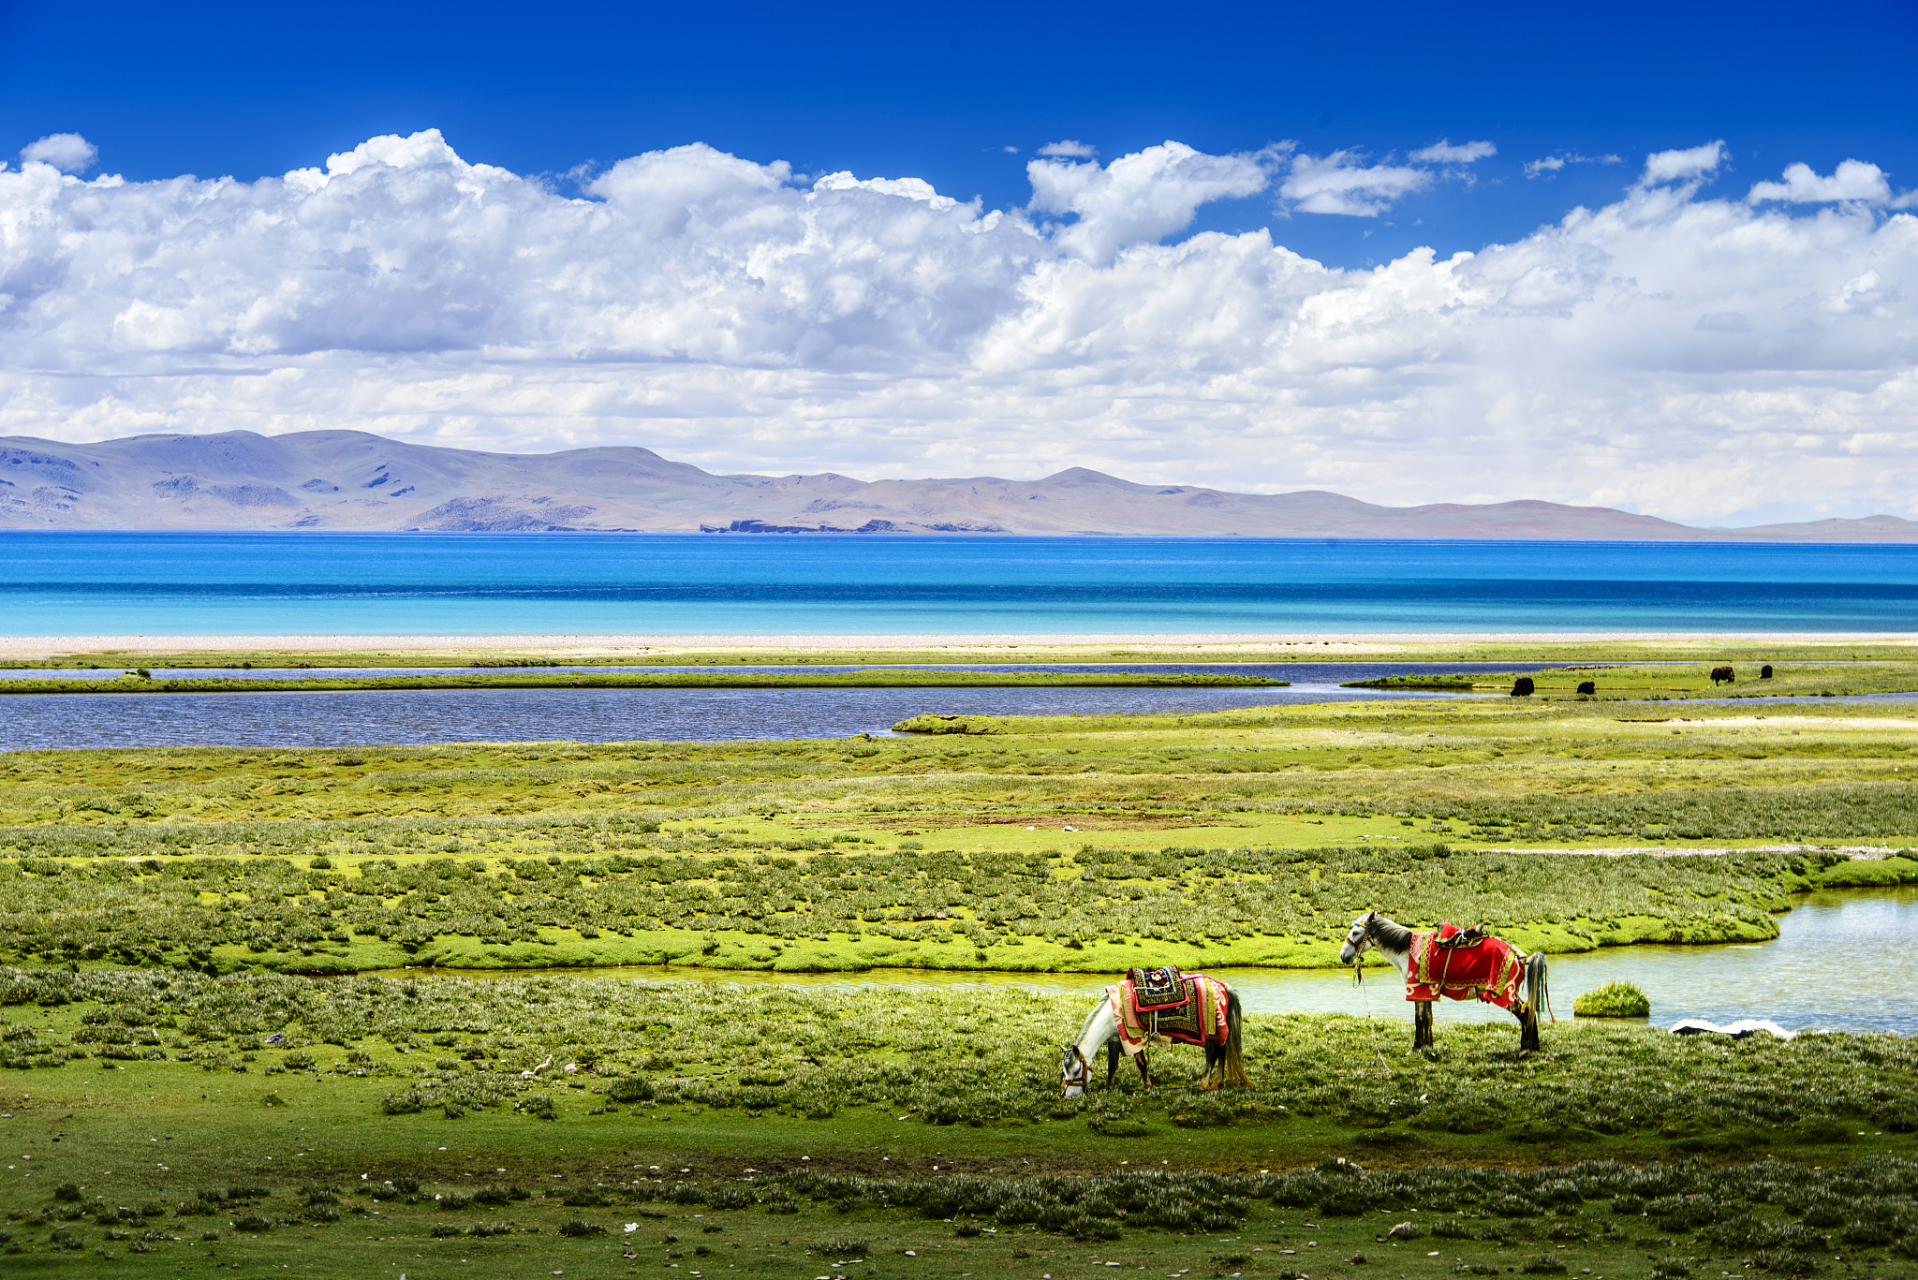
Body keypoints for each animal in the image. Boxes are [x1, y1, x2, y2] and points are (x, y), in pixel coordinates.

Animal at [1058, 974, 1250, 1097]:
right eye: (1064, 1071)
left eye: (1076, 1070)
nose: (1067, 1095)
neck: (1112, 1012)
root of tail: (1223, 987)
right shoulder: (1115, 1039)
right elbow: (1113, 1065)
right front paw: (1109, 1088)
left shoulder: (1135, 1039)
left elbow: (1141, 1063)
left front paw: (1148, 1086)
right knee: (1223, 1052)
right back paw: (1218, 1083)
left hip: (1210, 1033)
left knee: (1212, 1055)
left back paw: (1203, 1085)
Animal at [1342, 917, 1549, 1059]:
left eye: (1355, 933)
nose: (1343, 956)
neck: (1406, 949)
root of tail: (1519, 956)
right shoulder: (1426, 992)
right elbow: (1427, 1019)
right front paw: (1426, 1047)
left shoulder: (1418, 989)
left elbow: (1420, 1019)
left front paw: (1415, 1049)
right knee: (1529, 1011)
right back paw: (1534, 1048)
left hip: (1503, 993)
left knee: (1525, 1013)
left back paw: (1525, 1049)